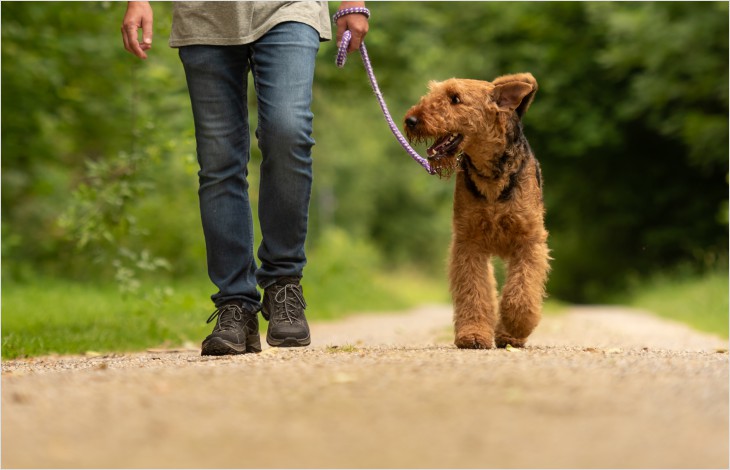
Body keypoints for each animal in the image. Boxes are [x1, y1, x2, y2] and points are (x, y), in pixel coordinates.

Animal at [400, 73, 548, 348]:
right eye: (433, 93)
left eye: (455, 98)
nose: (411, 120)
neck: (491, 176)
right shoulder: (469, 241)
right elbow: (474, 292)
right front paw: (473, 335)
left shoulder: (529, 240)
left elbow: (521, 292)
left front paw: (514, 326)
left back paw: (509, 334)